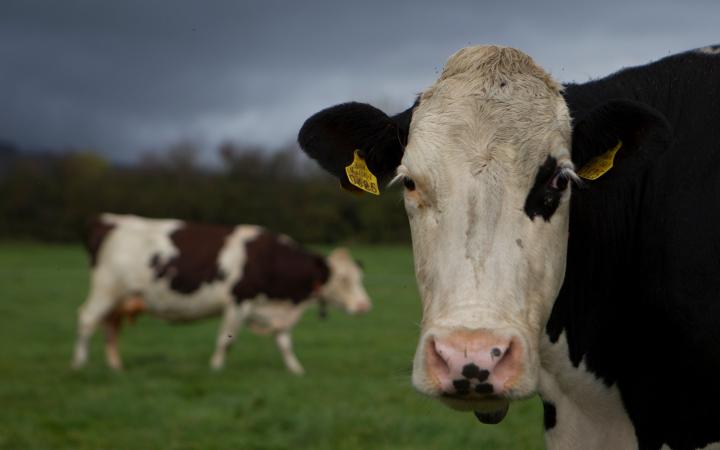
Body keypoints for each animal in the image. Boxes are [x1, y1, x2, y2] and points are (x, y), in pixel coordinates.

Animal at [71, 213, 372, 374]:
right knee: (86, 320)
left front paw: (296, 370)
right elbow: (226, 340)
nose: (364, 305)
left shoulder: (277, 314)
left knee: (110, 327)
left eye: (359, 277)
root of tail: (110, 221)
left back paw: (115, 366)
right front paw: (216, 368)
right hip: (106, 290)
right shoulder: (238, 302)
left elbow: (284, 343)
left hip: (119, 300)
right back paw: (79, 364)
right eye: (343, 279)